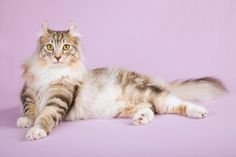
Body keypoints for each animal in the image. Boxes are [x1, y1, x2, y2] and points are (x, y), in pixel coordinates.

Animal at [16, 21, 227, 140]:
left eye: (66, 47)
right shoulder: (27, 92)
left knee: (176, 103)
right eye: (50, 47)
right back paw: (140, 118)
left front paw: (36, 131)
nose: (58, 57)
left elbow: (45, 115)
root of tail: (149, 78)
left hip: (148, 92)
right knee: (151, 109)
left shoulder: (58, 99)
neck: (51, 72)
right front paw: (25, 121)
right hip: (127, 107)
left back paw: (199, 111)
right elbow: (29, 109)